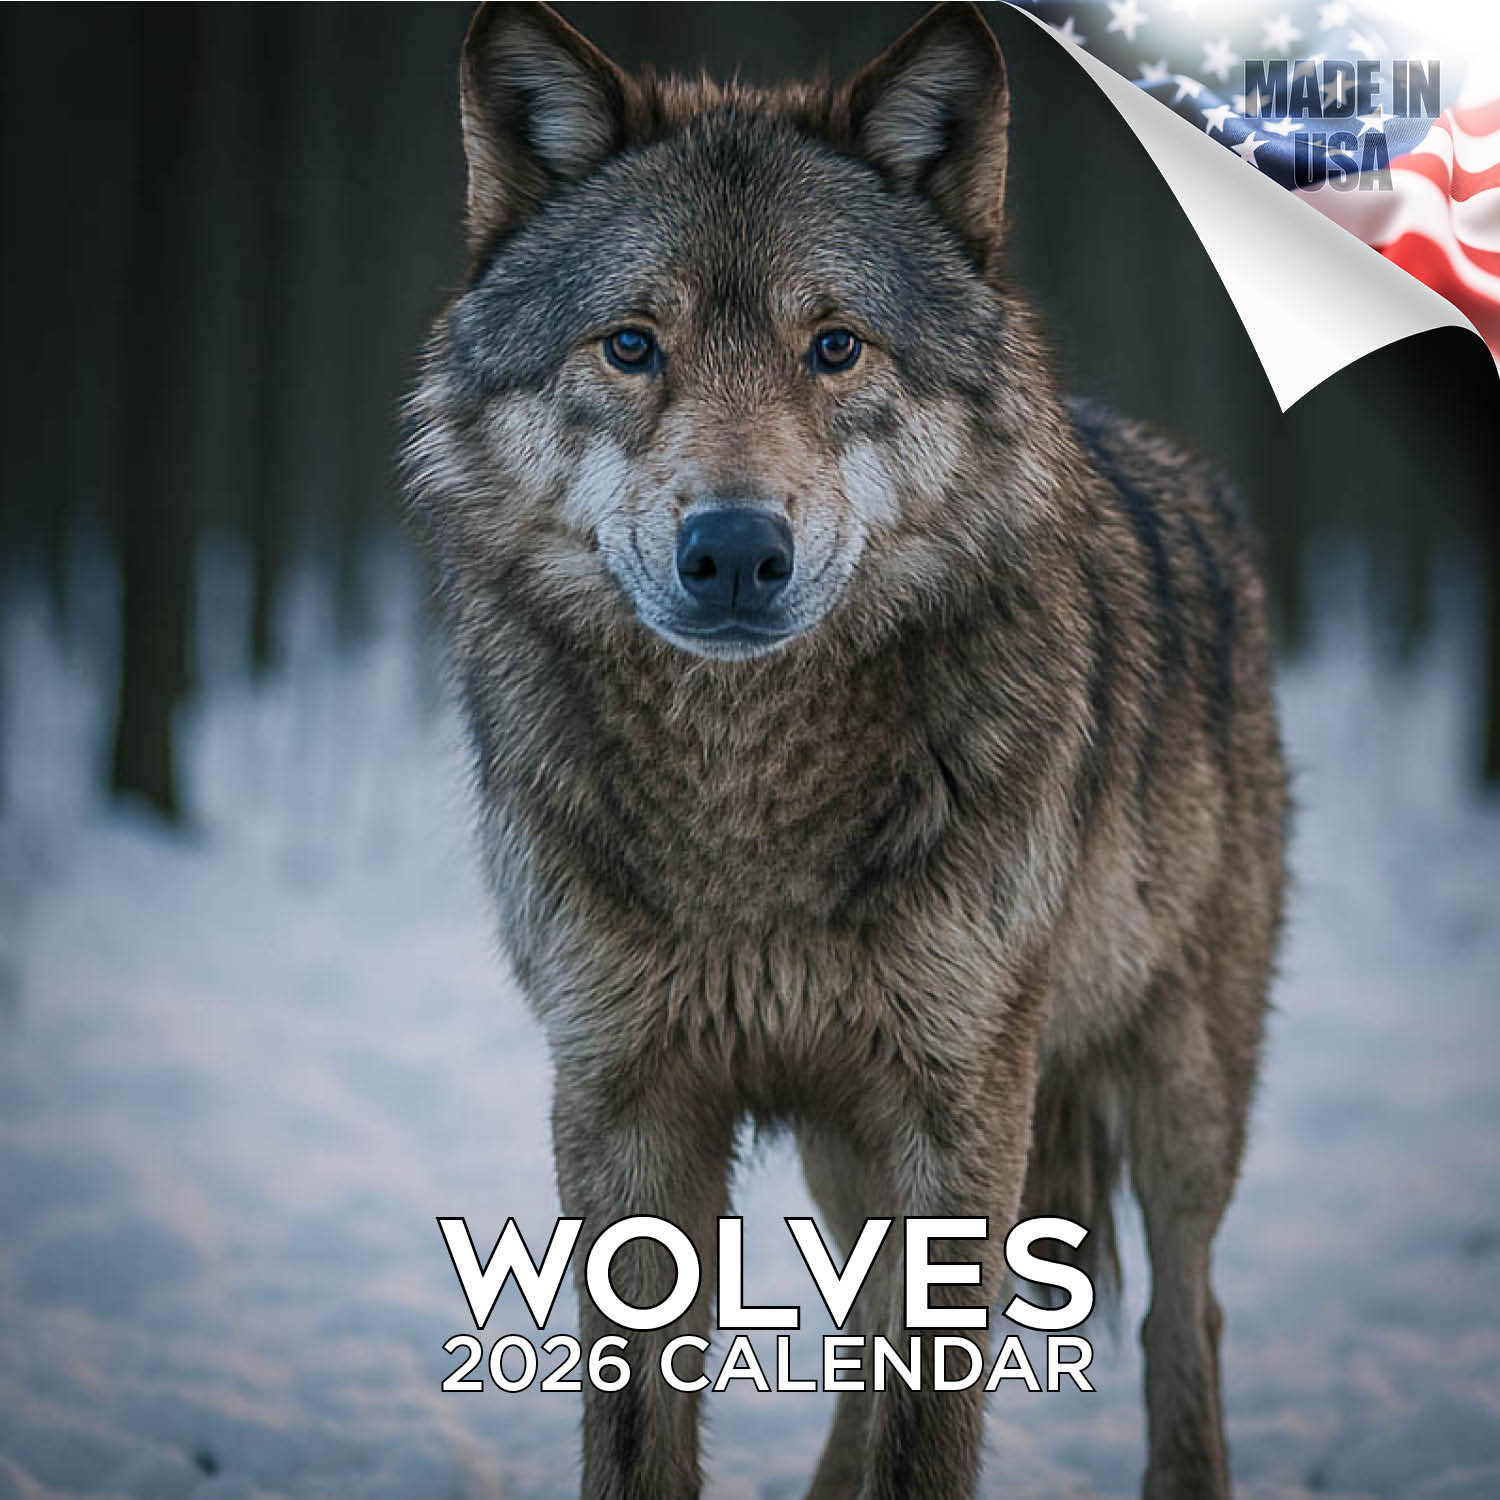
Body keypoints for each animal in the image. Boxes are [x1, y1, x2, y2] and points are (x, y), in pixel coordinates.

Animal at [402, 3, 1288, 1496]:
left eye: (836, 348)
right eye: (630, 345)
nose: (733, 549)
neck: (745, 808)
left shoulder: (959, 1101)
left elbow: (932, 1428)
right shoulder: (623, 1102)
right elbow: (643, 1424)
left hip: (1175, 1092)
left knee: (1191, 1311)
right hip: (849, 1148)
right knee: (870, 1332)